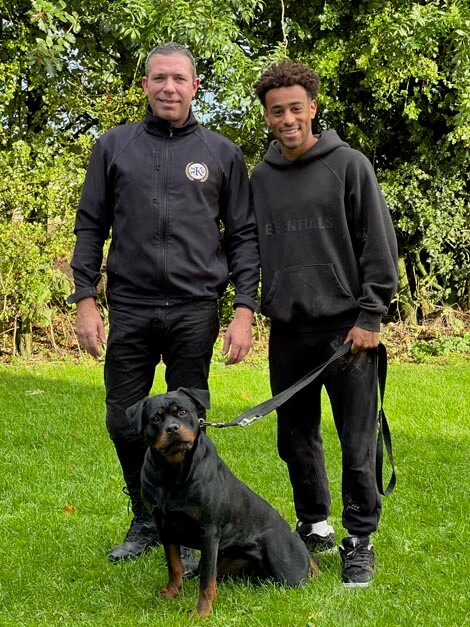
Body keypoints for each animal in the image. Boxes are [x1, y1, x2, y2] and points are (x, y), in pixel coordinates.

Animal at [126, 388, 318, 620]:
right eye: (155, 418)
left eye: (182, 412)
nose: (172, 428)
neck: (173, 472)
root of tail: (296, 538)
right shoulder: (164, 525)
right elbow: (174, 565)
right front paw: (171, 592)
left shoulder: (208, 531)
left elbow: (206, 581)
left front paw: (201, 612)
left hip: (286, 570)